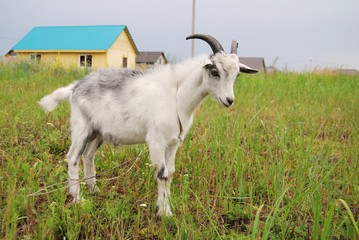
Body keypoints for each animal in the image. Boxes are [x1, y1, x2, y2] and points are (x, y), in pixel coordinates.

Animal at [38, 34, 258, 217]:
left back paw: (94, 190)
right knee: (73, 157)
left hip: (97, 132)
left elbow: (170, 173)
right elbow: (162, 174)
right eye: (214, 71)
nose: (229, 100)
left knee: (88, 155)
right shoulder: (156, 141)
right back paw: (78, 199)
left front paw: (166, 208)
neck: (177, 96)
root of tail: (75, 87)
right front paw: (164, 214)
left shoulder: (173, 143)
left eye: (237, 74)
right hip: (81, 127)